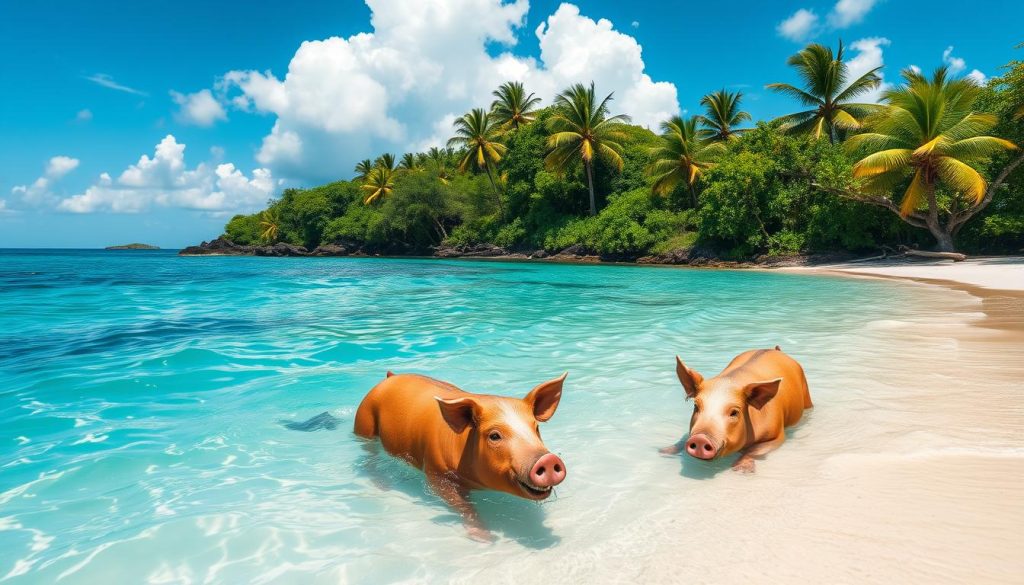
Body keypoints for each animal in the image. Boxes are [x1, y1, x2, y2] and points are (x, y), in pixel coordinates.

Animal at [353, 371, 568, 541]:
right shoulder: (436, 473)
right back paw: (383, 486)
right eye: (494, 435)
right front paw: (485, 539)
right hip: (363, 421)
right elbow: (463, 505)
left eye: (536, 428)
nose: (548, 459)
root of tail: (391, 376)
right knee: (369, 457)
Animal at [660, 346, 812, 472]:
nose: (700, 438)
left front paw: (741, 471)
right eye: (696, 407)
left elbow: (754, 450)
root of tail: (776, 350)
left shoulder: (778, 435)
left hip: (806, 394)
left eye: (734, 412)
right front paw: (663, 451)